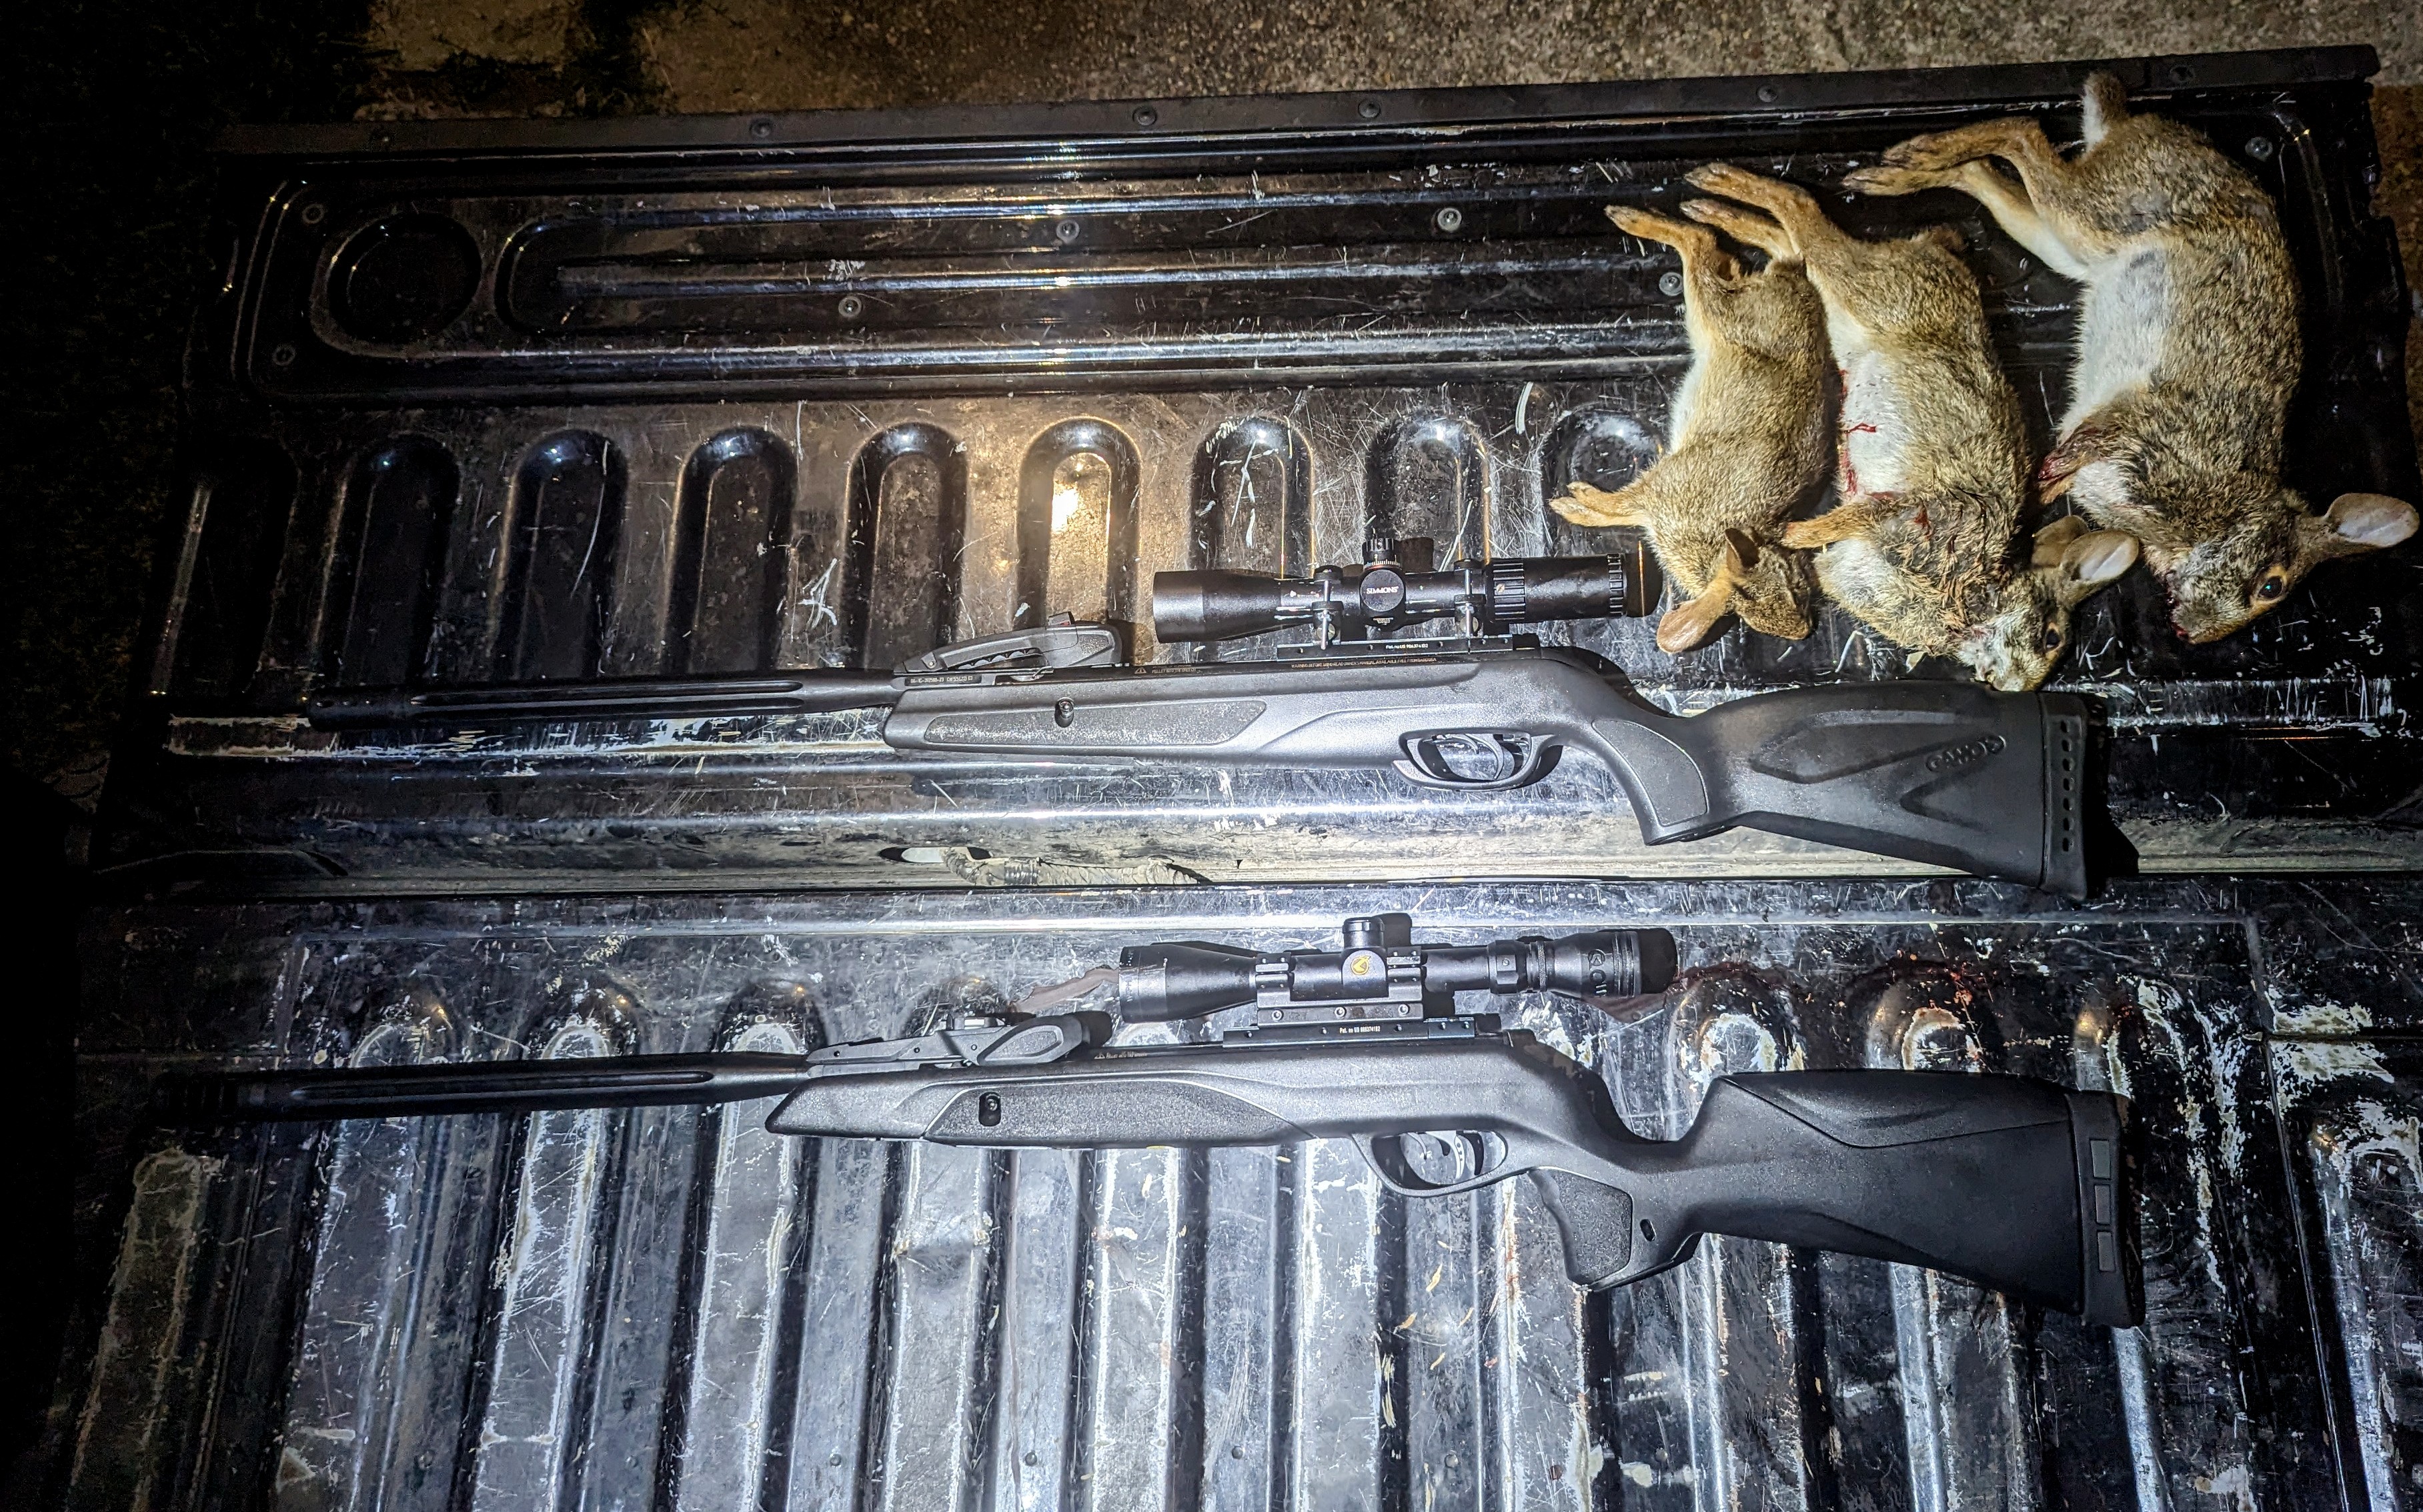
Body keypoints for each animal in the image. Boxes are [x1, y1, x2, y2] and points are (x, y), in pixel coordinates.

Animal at [1550, 205, 1830, 653]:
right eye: (1795, 587)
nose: (1805, 631)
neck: (1718, 541)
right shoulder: (1661, 489)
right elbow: (1617, 506)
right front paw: (1574, 501)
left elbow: (1615, 511)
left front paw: (1572, 504)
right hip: (1714, 310)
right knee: (1704, 243)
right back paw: (1644, 216)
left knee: (1752, 249)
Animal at [1680, 162, 2138, 690]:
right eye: (2050, 637)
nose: (2005, 687)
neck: (1977, 594)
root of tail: (1937, 253)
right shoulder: (1907, 515)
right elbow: (1842, 521)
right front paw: (1791, 534)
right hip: (1862, 286)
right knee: (1802, 210)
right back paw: (1716, 188)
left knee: (1793, 243)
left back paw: (1720, 212)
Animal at [1842, 71, 2417, 643]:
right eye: (2270, 585)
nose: (2191, 635)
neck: (2228, 514)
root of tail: (2130, 124)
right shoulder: (2143, 428)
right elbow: (2094, 436)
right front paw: (2046, 476)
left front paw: (2046, 489)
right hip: (2096, 214)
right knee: (2022, 133)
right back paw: (1908, 156)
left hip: (2068, 245)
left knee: (1988, 175)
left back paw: (1897, 173)